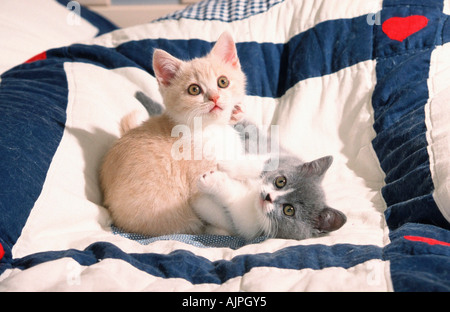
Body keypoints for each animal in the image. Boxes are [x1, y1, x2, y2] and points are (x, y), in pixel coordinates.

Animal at [99, 32, 246, 236]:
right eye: (194, 89)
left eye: (222, 82)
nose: (215, 97)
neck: (209, 129)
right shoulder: (198, 190)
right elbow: (220, 213)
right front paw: (230, 231)